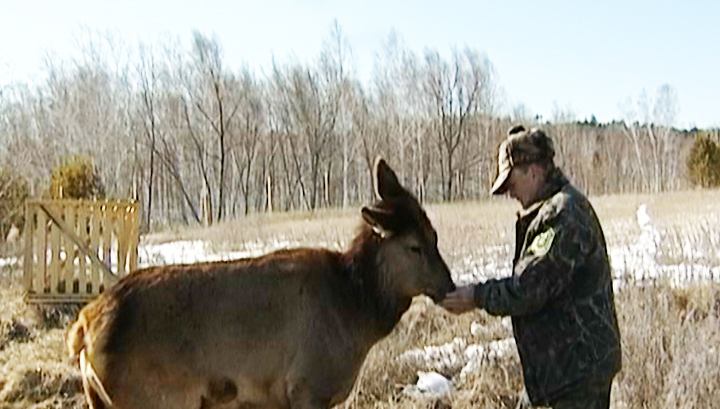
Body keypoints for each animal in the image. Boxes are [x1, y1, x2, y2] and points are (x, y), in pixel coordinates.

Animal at [66, 158, 450, 408]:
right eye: (414, 246)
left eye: (435, 234)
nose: (447, 284)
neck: (355, 314)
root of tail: (83, 328)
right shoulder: (305, 386)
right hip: (154, 398)